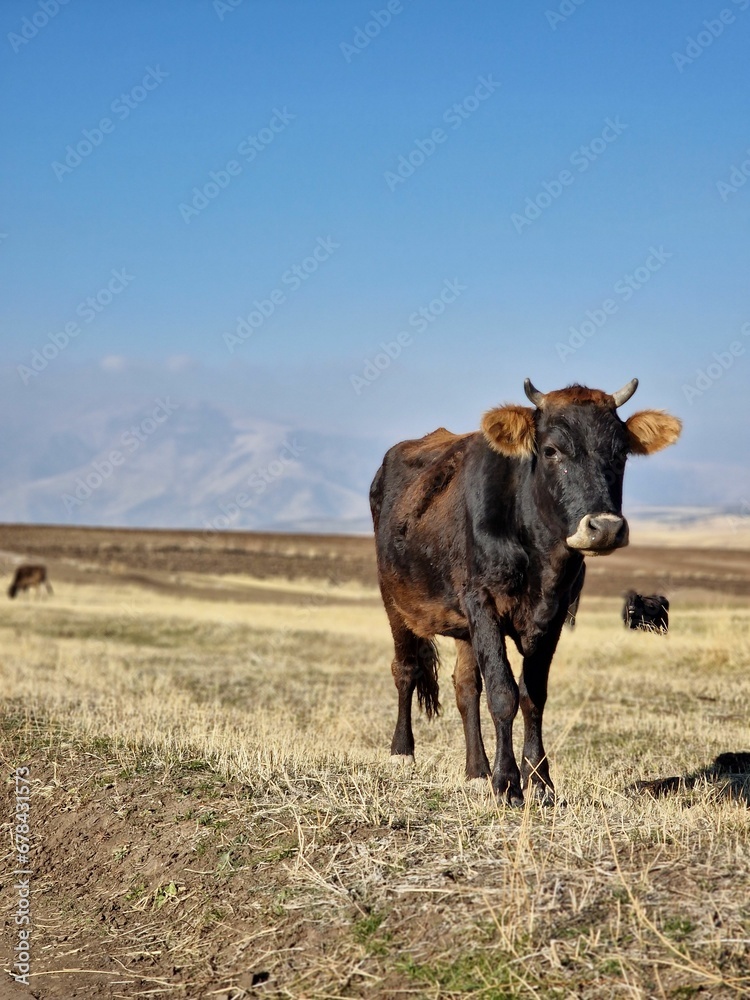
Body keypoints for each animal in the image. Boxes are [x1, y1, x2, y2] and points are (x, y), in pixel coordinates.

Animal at [374, 376, 684, 804]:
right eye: (552, 449)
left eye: (621, 453)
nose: (605, 527)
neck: (540, 555)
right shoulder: (484, 603)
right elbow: (503, 693)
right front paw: (507, 782)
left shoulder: (553, 614)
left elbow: (532, 695)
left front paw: (539, 781)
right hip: (395, 598)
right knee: (405, 670)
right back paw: (402, 753)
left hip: (464, 627)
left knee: (465, 686)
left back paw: (476, 771)